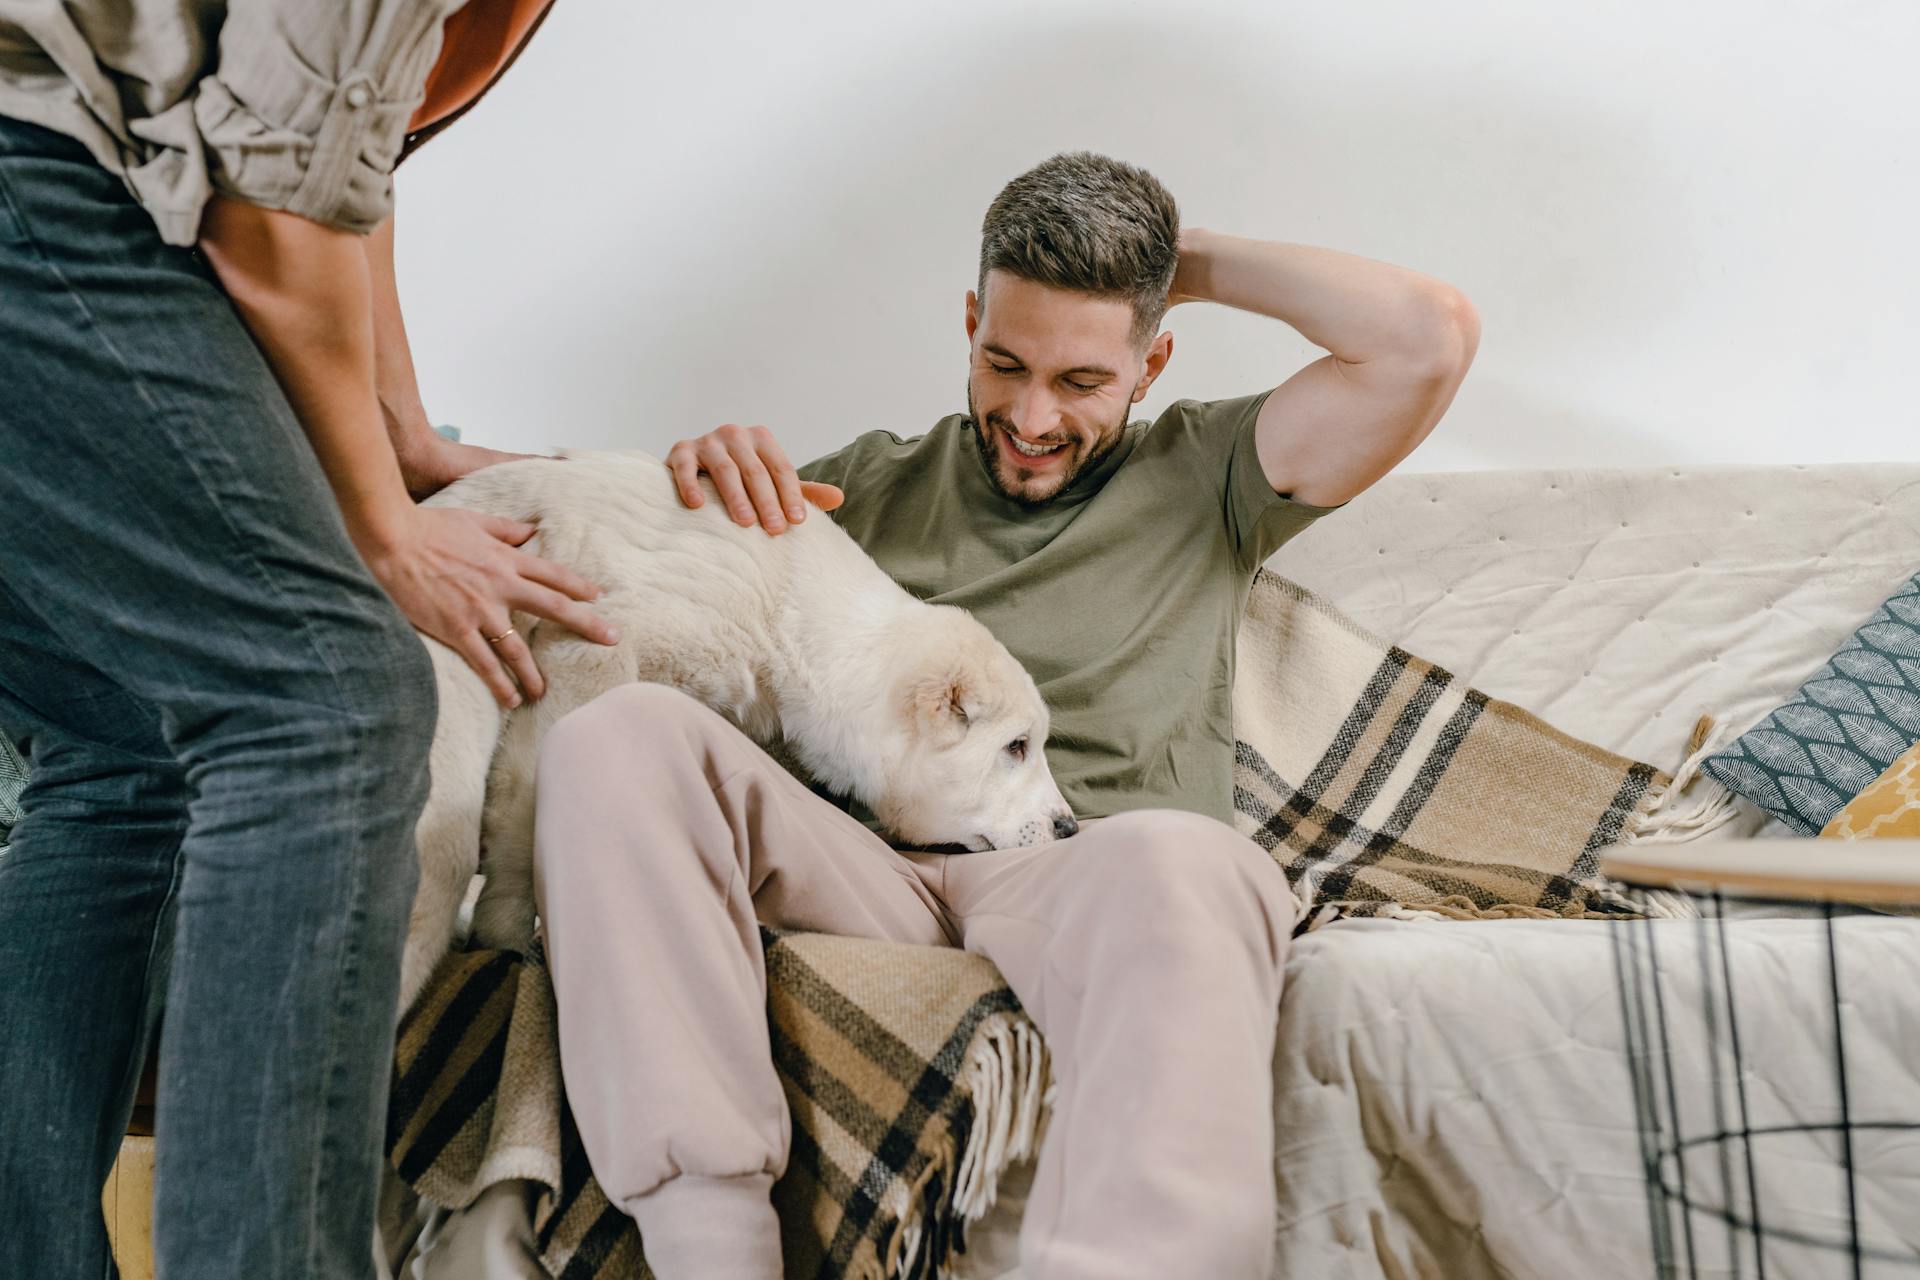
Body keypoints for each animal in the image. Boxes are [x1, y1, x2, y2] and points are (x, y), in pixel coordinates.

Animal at [397, 449, 1075, 1013]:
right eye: (1016, 747)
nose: (1070, 829)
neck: (792, 618)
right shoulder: (582, 653)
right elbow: (519, 820)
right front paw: (505, 942)